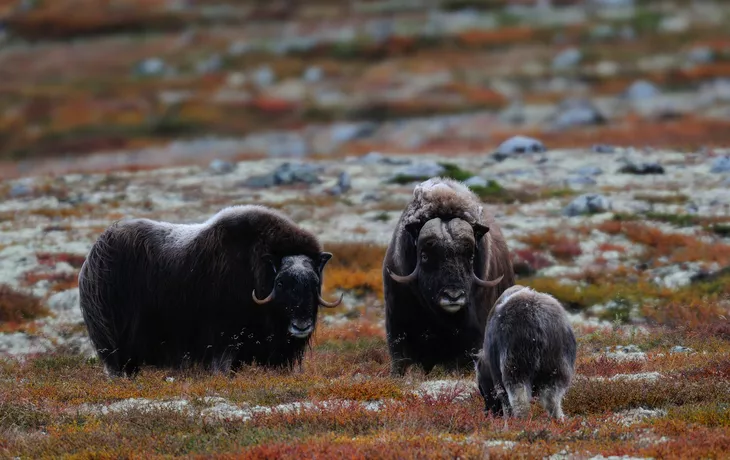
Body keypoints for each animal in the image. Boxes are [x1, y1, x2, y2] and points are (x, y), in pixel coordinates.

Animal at [79, 206, 342, 378]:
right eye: (280, 284)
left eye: (314, 282)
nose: (301, 325)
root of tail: (93, 256)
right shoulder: (223, 337)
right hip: (114, 335)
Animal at [474, 286, 576, 422]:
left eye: (480, 386)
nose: (487, 412)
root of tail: (538, 319)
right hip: (558, 368)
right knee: (553, 401)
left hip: (516, 367)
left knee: (519, 401)